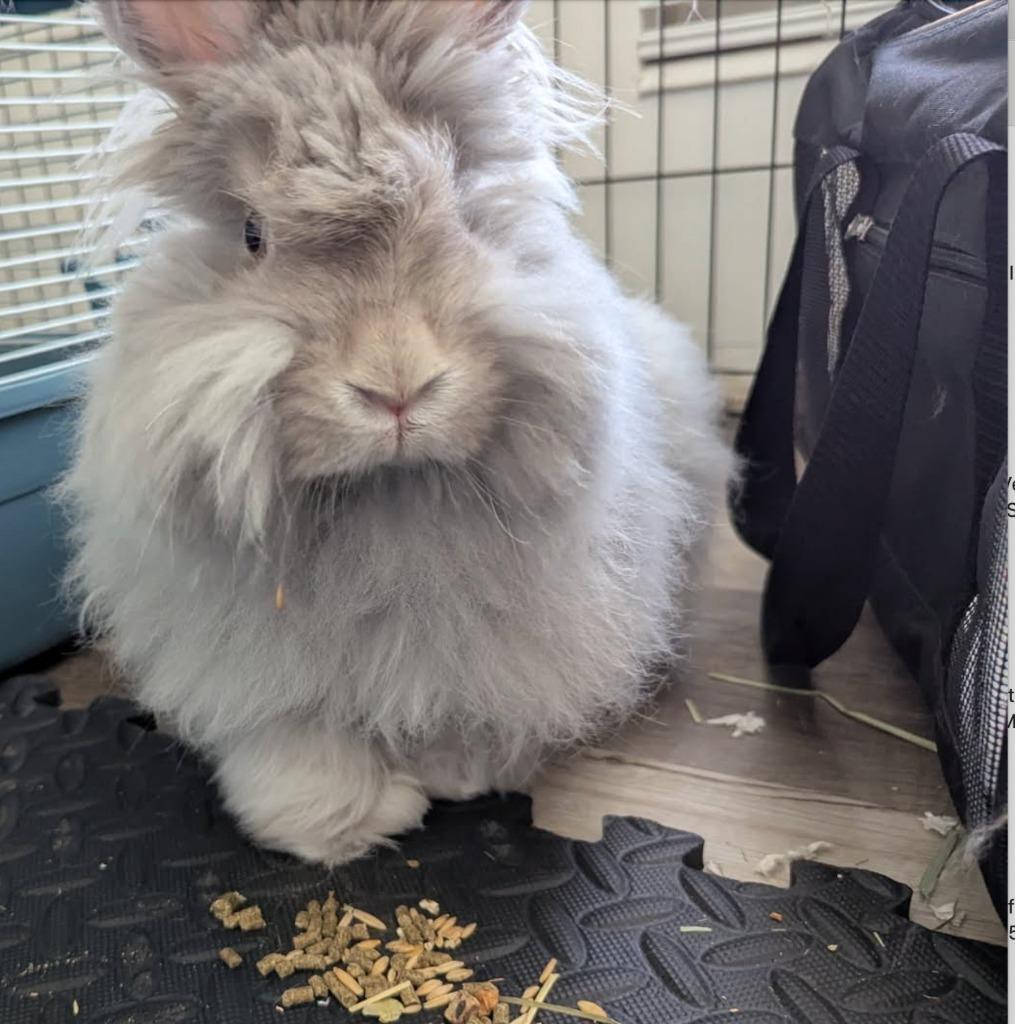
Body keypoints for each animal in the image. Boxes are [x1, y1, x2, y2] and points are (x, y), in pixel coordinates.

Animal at [64, 0, 732, 865]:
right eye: (252, 235)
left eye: (460, 211)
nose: (395, 387)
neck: (387, 501)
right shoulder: (256, 672)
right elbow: (299, 751)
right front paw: (344, 827)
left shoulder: (495, 650)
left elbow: (465, 711)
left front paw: (457, 777)